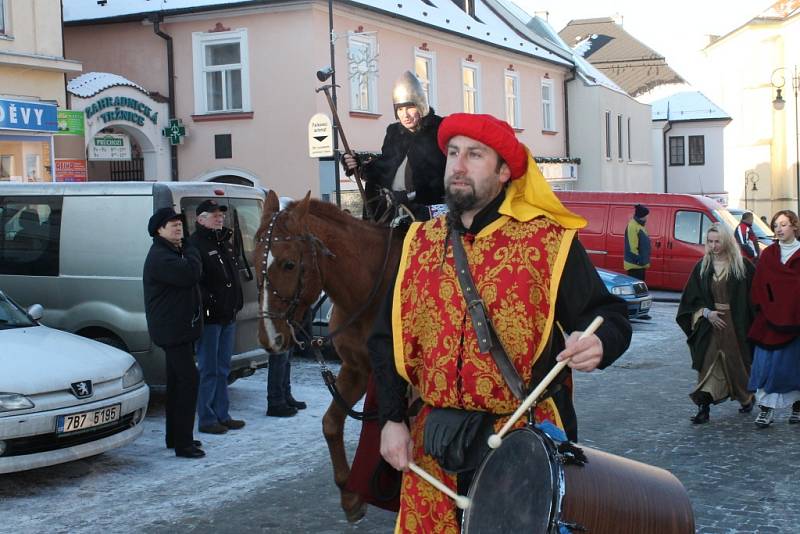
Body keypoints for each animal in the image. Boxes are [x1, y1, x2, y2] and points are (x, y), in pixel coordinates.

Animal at [256, 191, 404, 520]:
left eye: (289, 264)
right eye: (252, 260)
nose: (270, 338)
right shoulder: (357, 368)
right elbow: (331, 423)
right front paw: (350, 494)